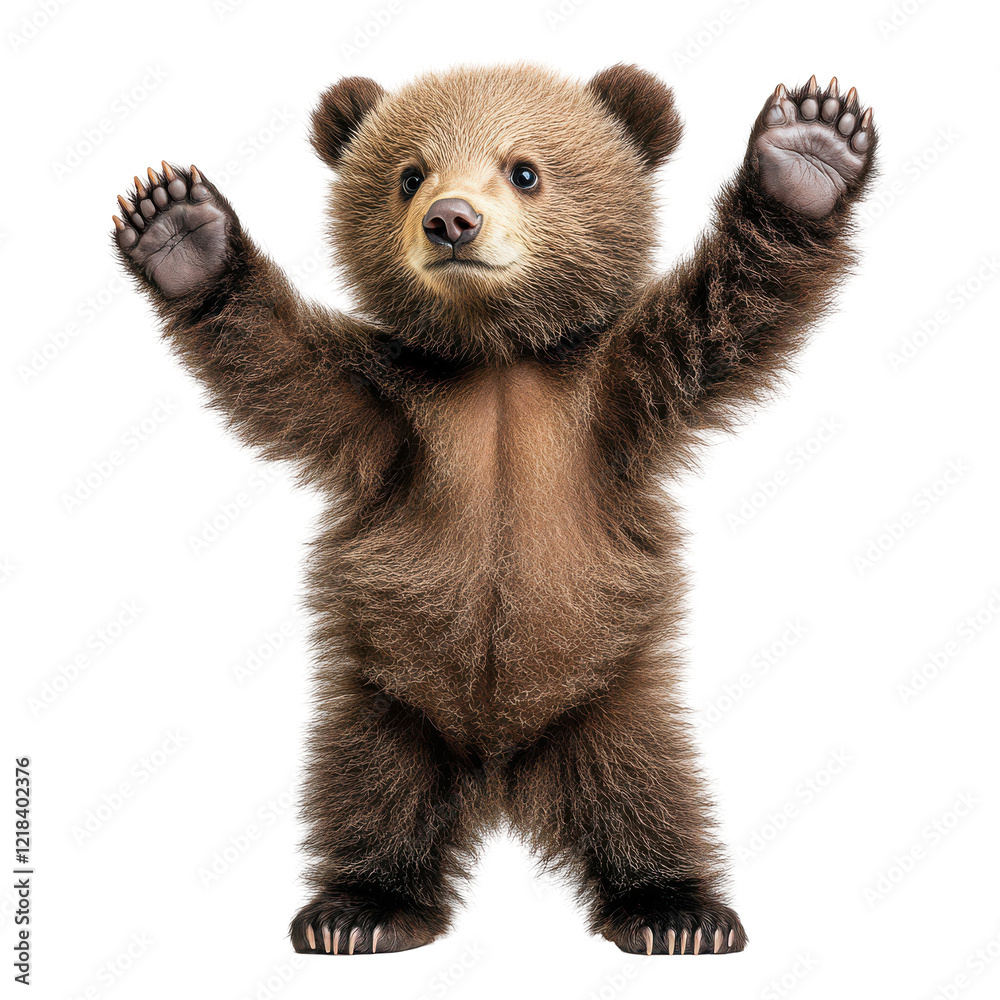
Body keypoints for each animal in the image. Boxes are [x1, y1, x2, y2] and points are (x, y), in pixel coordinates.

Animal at [111, 63, 876, 956]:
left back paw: (675, 911)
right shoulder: (391, 411)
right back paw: (359, 909)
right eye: (410, 174)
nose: (451, 220)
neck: (497, 356)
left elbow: (727, 311)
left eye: (525, 170)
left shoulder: (612, 392)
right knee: (369, 791)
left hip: (610, 697)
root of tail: (501, 772)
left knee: (645, 789)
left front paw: (807, 155)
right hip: (388, 699)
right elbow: (280, 365)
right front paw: (181, 234)